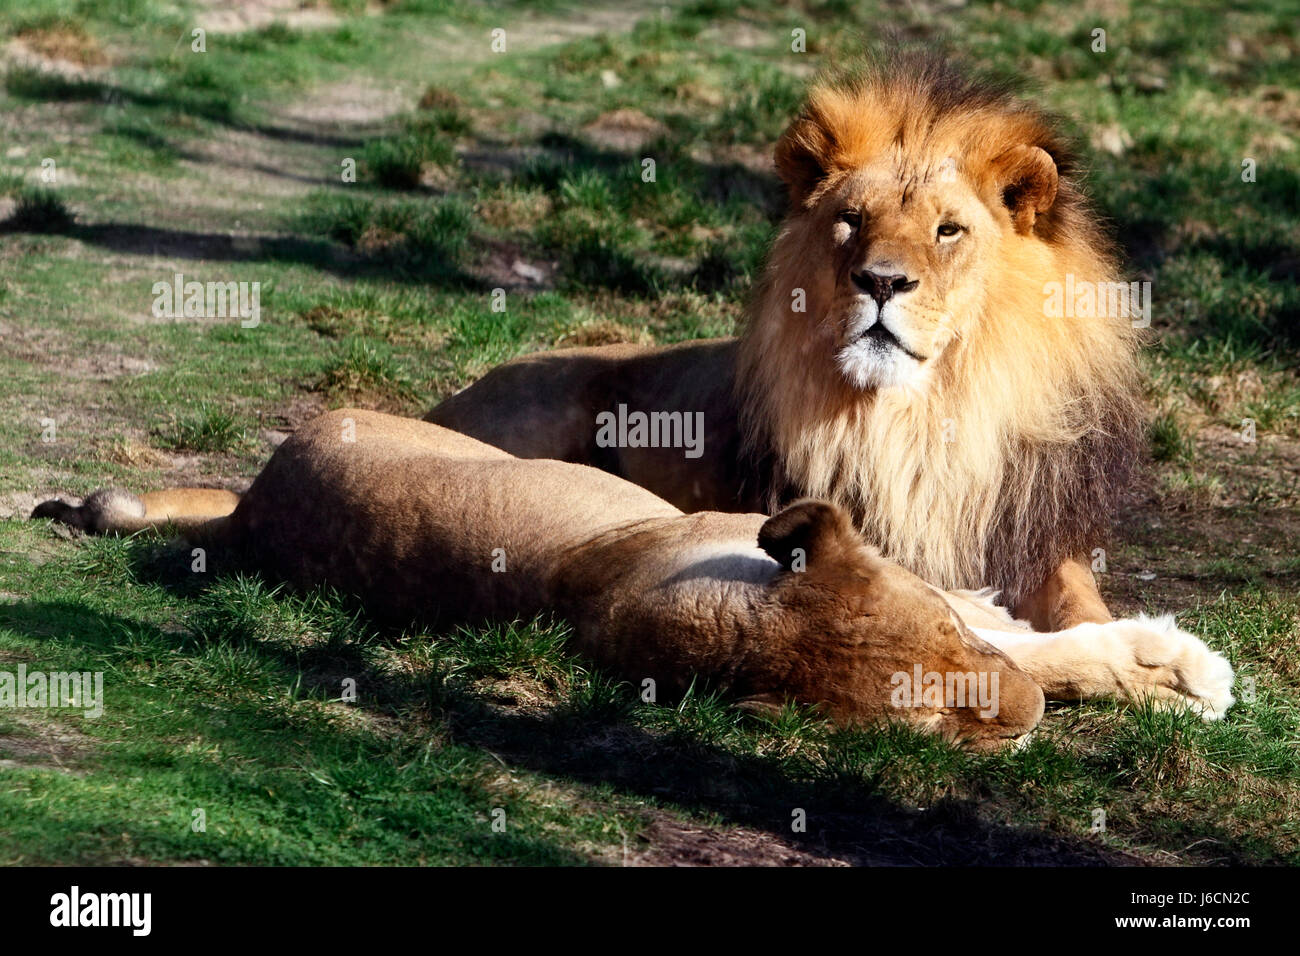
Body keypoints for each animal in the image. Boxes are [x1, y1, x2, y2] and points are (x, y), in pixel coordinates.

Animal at [27, 408, 1227, 749]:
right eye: (934, 727)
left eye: (946, 645)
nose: (1019, 725)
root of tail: (258, 515)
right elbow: (1052, 651)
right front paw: (1179, 673)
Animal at [431, 55, 1144, 632]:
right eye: (851, 220)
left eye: (948, 230)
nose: (882, 281)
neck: (919, 416)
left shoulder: (1033, 534)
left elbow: (1080, 595)